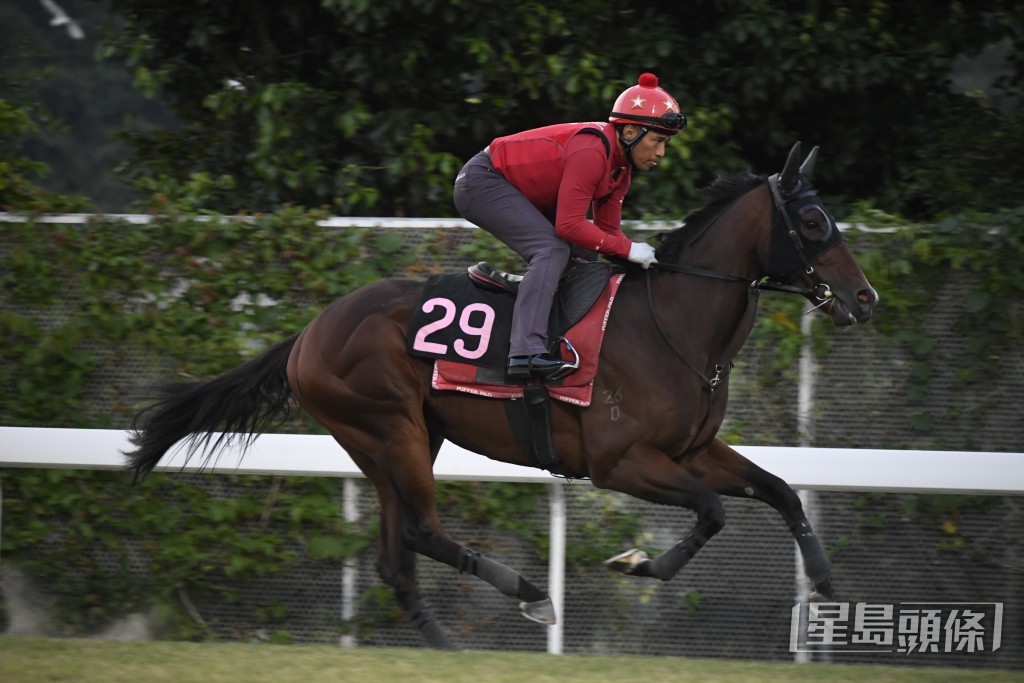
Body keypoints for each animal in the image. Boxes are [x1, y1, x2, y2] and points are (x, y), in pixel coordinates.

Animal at [125, 141, 880, 651]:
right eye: (814, 222)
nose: (865, 298)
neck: (671, 323)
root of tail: (309, 332)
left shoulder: (693, 449)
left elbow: (779, 490)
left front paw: (828, 587)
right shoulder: (620, 463)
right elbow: (713, 510)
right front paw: (638, 562)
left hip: (396, 439)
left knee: (397, 558)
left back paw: (447, 649)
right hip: (389, 428)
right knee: (422, 532)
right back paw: (531, 595)